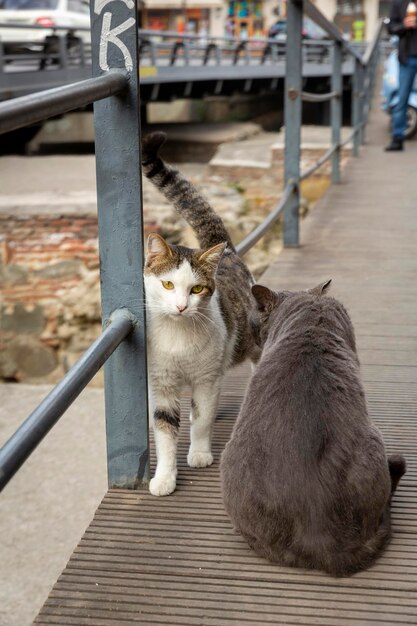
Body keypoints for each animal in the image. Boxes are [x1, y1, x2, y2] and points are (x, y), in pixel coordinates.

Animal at [141, 134, 258, 494]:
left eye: (196, 290)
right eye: (167, 284)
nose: (181, 306)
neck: (178, 336)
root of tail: (227, 251)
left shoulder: (207, 379)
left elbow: (203, 420)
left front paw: (200, 454)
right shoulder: (161, 383)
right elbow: (165, 433)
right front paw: (164, 478)